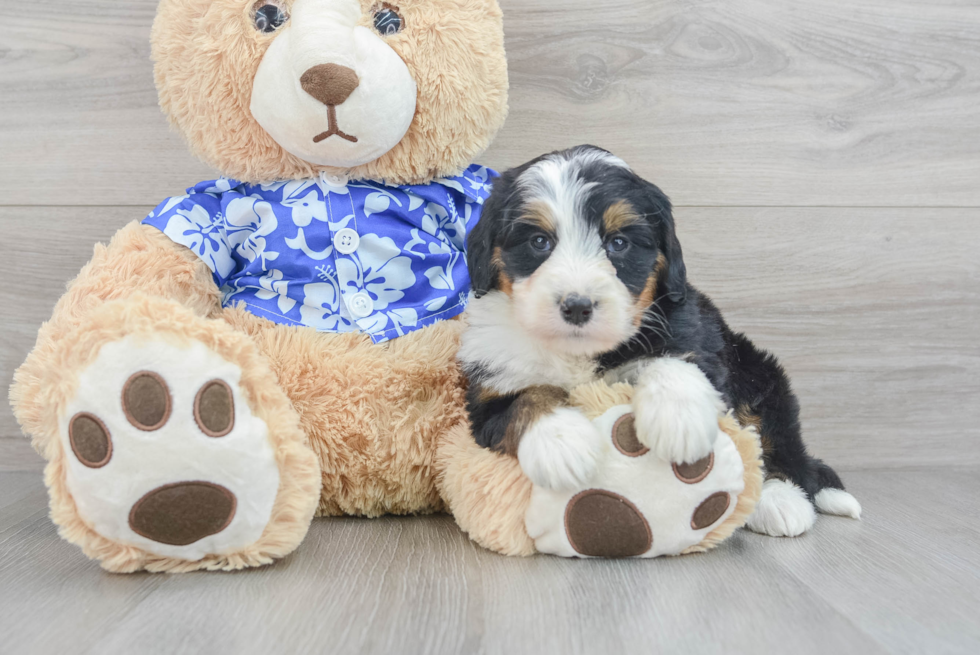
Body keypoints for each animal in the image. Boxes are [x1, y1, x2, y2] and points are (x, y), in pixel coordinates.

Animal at [460, 147, 856, 540]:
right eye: (539, 242)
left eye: (618, 243)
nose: (577, 306)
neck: (580, 351)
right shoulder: (488, 391)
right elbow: (526, 400)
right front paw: (561, 444)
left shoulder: (694, 333)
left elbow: (677, 358)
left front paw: (679, 420)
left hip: (759, 373)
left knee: (777, 444)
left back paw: (780, 501)